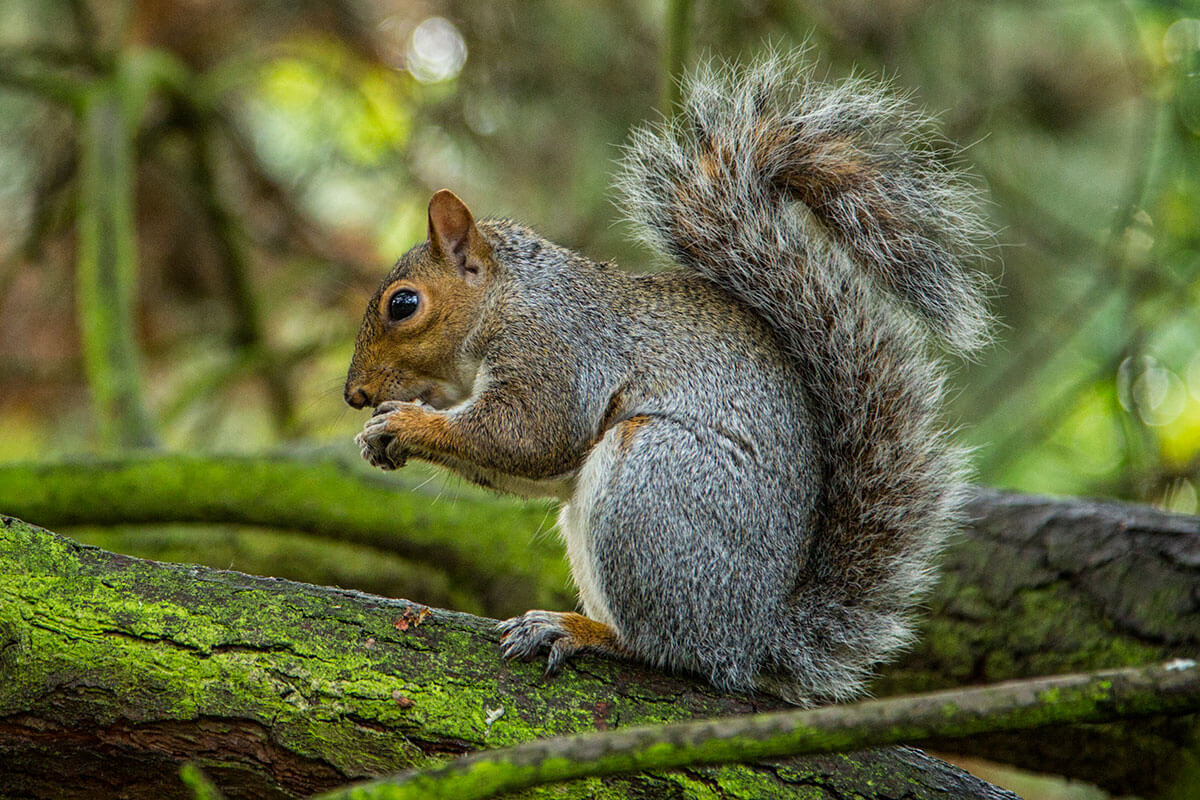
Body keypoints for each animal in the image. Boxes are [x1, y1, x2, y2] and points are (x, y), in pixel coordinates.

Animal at [343, 54, 988, 705]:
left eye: (403, 304)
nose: (355, 395)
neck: (507, 298)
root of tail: (754, 637)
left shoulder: (558, 349)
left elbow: (530, 432)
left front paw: (406, 424)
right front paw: (378, 436)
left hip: (650, 482)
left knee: (666, 648)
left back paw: (581, 630)